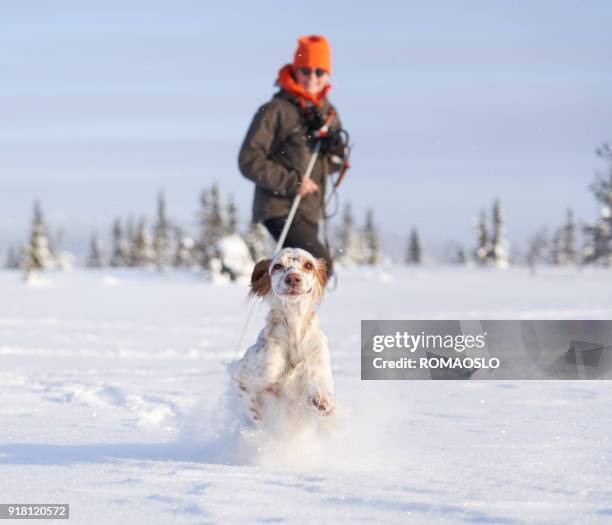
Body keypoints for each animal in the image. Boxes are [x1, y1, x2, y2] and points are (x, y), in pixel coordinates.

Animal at [231, 247, 334, 426]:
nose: (293, 278)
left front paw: (322, 400)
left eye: (309, 265)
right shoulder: (242, 375)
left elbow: (319, 385)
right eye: (277, 266)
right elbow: (256, 415)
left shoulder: (317, 362)